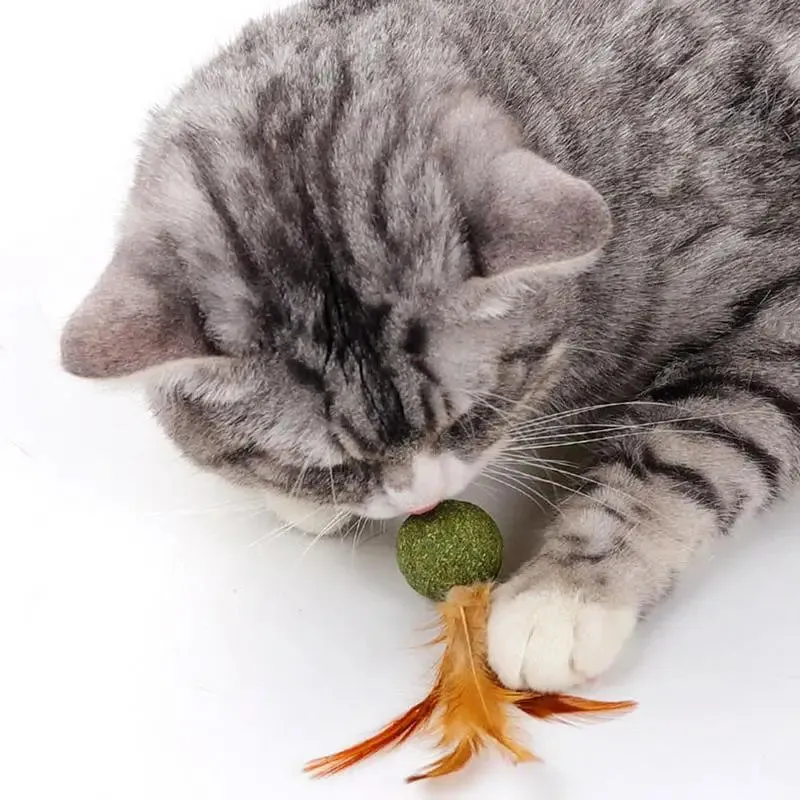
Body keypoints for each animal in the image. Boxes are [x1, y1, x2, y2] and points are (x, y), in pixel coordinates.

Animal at [61, 0, 800, 692]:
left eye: (471, 416)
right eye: (332, 466)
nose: (420, 501)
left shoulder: (782, 326)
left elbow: (692, 451)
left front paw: (566, 594)